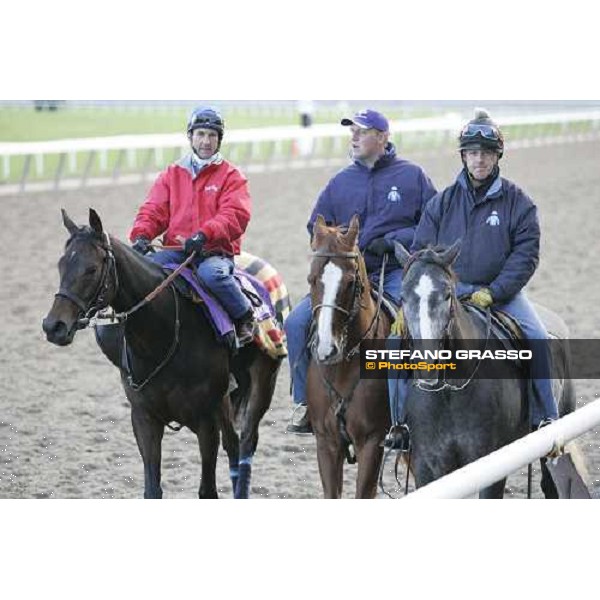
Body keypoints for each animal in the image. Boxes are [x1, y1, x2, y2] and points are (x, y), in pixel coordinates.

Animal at [394, 241, 576, 500]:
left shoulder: (491, 467)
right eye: (403, 296)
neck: (449, 394)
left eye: (447, 294)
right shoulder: (427, 467)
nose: (427, 367)